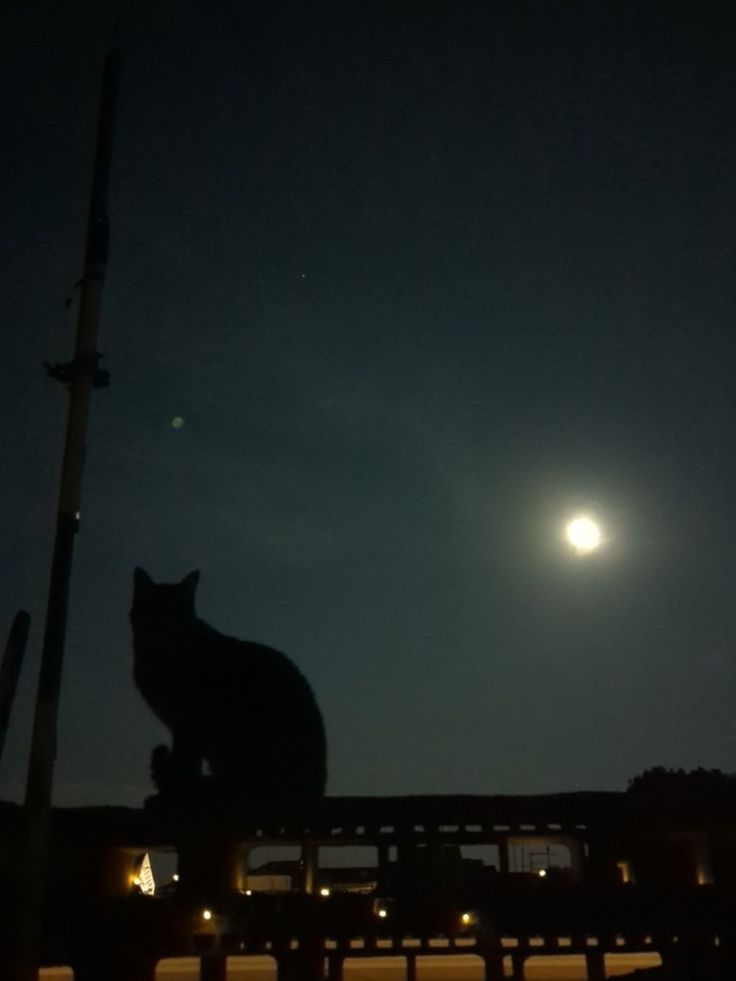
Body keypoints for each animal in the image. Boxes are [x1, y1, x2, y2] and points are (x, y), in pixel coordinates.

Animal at [131, 568, 326, 804]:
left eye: (177, 614)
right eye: (154, 608)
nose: (164, 627)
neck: (159, 657)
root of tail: (315, 792)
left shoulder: (189, 722)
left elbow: (185, 763)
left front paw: (179, 793)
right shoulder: (181, 725)